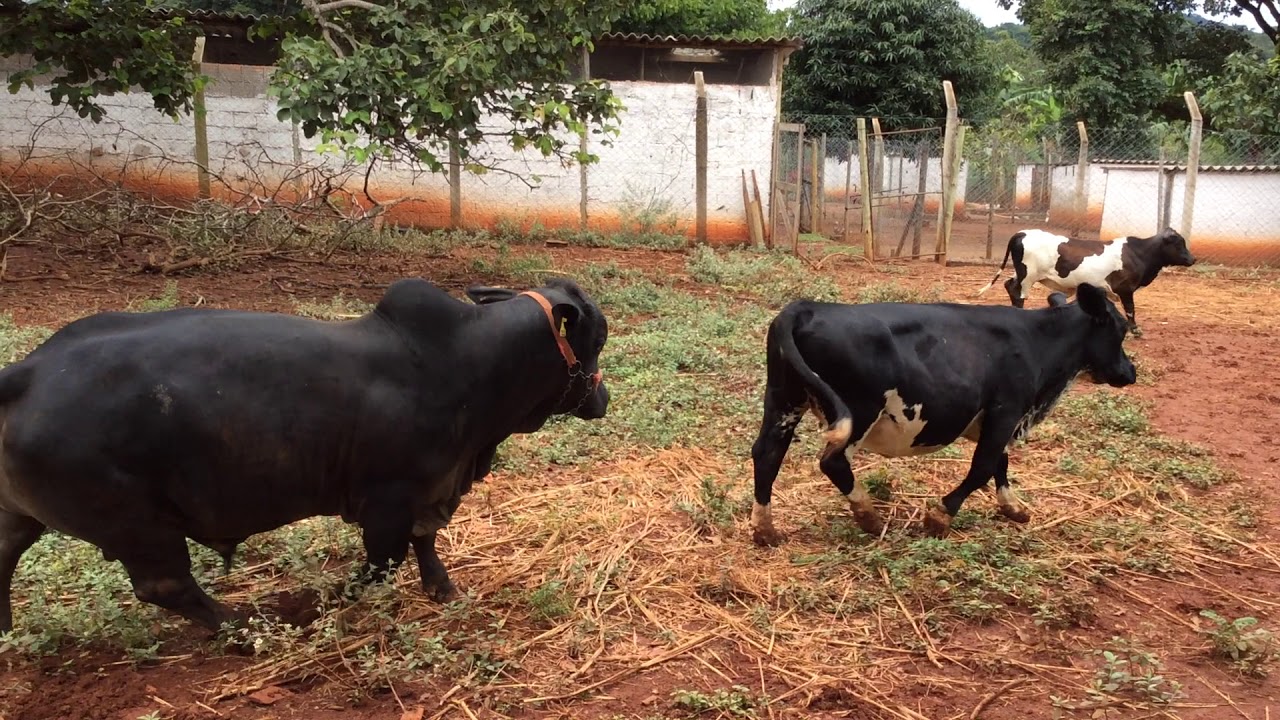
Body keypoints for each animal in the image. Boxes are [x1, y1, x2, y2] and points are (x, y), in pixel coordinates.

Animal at [0, 276, 609, 633]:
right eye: (596, 339)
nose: (602, 399)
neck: (470, 361)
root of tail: (27, 372)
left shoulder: (429, 492)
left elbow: (425, 543)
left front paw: (442, 589)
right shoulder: (389, 501)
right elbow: (382, 563)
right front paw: (331, 607)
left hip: (23, 516)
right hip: (137, 528)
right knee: (166, 587)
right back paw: (240, 627)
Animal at [749, 283, 1135, 545]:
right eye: (1119, 329)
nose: (1130, 372)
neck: (1037, 340)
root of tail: (807, 307)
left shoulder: (993, 418)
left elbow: (1000, 462)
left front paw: (1013, 508)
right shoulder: (1007, 409)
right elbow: (983, 467)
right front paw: (940, 516)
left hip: (783, 400)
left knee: (767, 453)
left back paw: (765, 530)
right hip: (858, 409)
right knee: (832, 461)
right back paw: (869, 517)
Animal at [976, 227, 1196, 336]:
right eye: (1179, 243)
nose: (1193, 259)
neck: (1139, 253)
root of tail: (1023, 232)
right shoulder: (1125, 289)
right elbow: (1131, 310)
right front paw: (1135, 330)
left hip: (1022, 274)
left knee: (1009, 286)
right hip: (1027, 275)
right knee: (1018, 293)